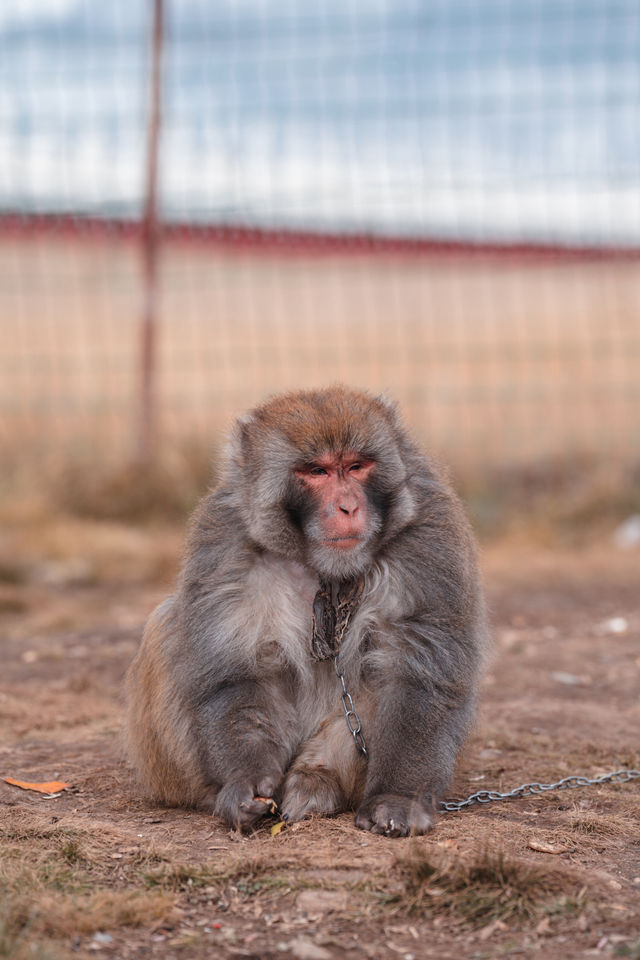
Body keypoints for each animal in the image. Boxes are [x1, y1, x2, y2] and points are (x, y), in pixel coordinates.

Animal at [124, 386, 484, 836]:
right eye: (317, 471)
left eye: (356, 466)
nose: (348, 507)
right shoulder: (223, 541)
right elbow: (239, 673)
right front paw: (244, 782)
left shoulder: (431, 538)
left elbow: (415, 673)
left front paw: (397, 796)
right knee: (166, 628)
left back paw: (317, 783)